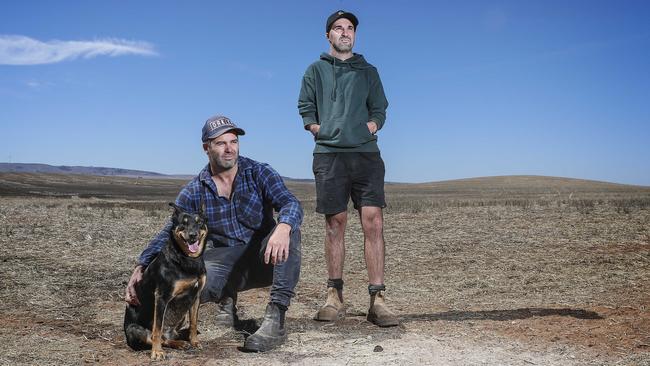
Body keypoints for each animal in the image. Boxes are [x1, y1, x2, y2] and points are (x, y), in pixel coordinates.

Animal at [124, 203, 208, 360]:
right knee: (154, 336)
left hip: (181, 315)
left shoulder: (196, 296)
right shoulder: (162, 297)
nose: (193, 235)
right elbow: (157, 329)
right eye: (183, 223)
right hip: (134, 329)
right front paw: (157, 352)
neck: (187, 259)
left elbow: (194, 323)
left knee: (166, 337)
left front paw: (194, 342)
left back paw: (180, 343)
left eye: (199, 222)